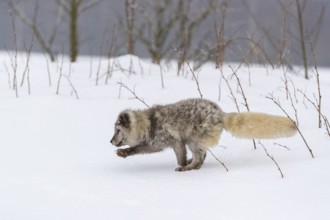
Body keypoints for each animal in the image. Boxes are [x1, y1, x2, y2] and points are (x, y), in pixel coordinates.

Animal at [110, 98, 296, 172]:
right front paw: (124, 152)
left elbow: (140, 148)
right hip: (194, 141)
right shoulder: (158, 144)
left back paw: (187, 168)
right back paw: (192, 165)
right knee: (202, 156)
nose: (110, 141)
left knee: (200, 157)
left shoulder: (173, 142)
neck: (149, 123)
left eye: (117, 130)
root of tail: (221, 114)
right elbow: (137, 148)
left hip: (194, 140)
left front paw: (182, 165)